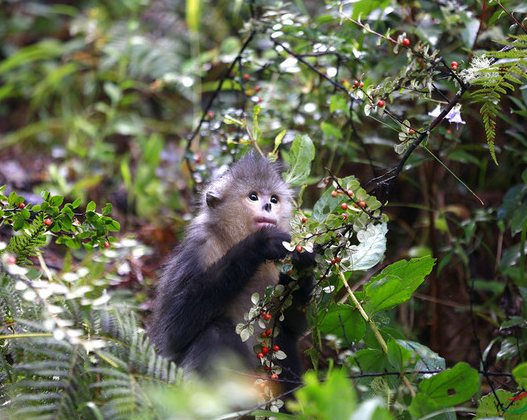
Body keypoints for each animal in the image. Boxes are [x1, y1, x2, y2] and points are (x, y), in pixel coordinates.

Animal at [148, 152, 314, 390]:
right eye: (253, 197)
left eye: (274, 199)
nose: (267, 206)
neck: (231, 239)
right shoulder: (197, 251)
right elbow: (173, 333)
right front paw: (259, 243)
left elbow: (292, 327)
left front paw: (304, 260)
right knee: (216, 332)